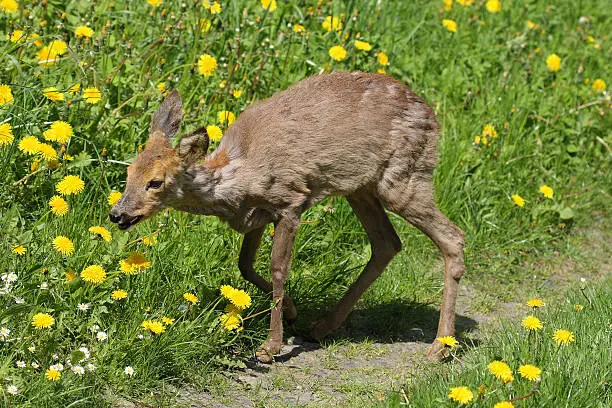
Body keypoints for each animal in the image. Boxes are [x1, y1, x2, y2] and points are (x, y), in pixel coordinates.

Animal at [109, 71, 464, 364]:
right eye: (128, 172)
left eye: (155, 182)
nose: (117, 214)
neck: (240, 172)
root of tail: (434, 119)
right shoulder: (255, 215)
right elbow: (244, 264)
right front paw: (292, 310)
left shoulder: (290, 201)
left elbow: (279, 268)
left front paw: (270, 346)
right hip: (361, 187)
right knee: (387, 242)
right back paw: (322, 327)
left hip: (404, 177)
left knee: (452, 237)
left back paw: (440, 347)